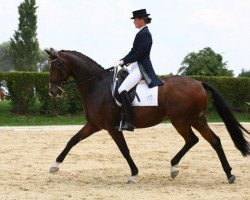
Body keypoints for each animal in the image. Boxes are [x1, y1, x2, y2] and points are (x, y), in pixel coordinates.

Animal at [46, 48, 249, 184]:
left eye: (56, 66)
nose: (53, 92)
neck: (97, 86)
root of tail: (199, 83)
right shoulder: (93, 125)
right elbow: (72, 140)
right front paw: (55, 165)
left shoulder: (112, 128)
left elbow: (124, 150)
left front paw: (133, 174)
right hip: (196, 119)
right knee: (213, 140)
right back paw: (228, 173)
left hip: (181, 120)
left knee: (193, 139)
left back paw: (175, 167)